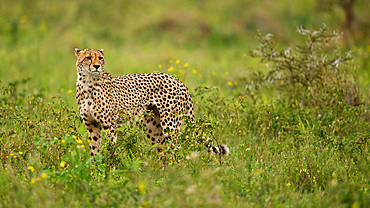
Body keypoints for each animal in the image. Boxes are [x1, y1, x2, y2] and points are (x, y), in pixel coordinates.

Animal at [74, 48, 228, 156]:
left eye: (100, 58)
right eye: (88, 58)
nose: (97, 66)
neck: (87, 83)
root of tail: (179, 81)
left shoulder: (109, 125)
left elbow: (110, 149)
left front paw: (109, 170)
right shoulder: (92, 125)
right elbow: (94, 150)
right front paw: (95, 171)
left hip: (170, 124)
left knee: (177, 150)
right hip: (152, 125)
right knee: (163, 151)